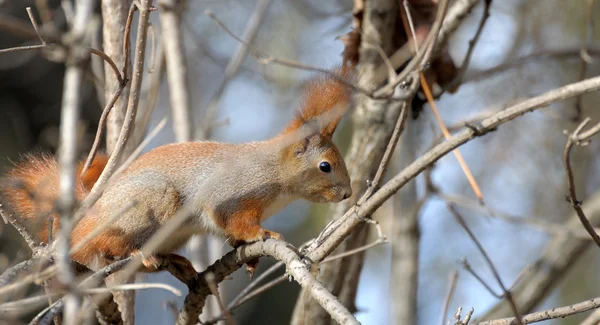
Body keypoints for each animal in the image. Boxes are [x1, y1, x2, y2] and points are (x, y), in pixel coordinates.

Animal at [0, 62, 354, 270]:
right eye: (325, 166)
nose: (348, 194)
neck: (276, 174)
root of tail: (88, 217)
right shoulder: (233, 193)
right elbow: (233, 219)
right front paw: (261, 233)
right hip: (148, 205)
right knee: (107, 246)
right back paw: (135, 254)